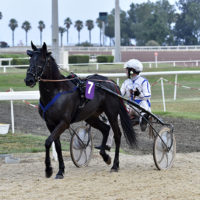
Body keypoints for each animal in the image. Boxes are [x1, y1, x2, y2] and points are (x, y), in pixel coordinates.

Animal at [24, 41, 138, 178]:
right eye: (30, 60)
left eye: (41, 61)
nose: (28, 80)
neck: (57, 91)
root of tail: (110, 82)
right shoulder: (50, 123)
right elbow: (56, 145)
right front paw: (60, 170)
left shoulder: (64, 122)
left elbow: (47, 141)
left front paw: (49, 169)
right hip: (91, 116)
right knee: (105, 129)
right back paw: (105, 157)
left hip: (111, 113)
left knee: (117, 134)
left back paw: (115, 165)